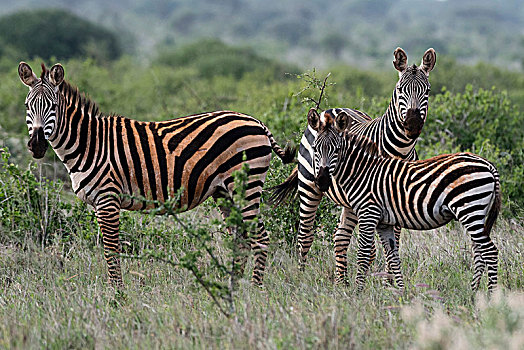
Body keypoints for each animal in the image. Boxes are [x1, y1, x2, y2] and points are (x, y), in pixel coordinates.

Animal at [17, 62, 294, 288]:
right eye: (27, 107)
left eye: (53, 106)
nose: (37, 145)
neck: (90, 144)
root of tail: (258, 122)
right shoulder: (99, 202)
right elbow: (109, 248)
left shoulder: (107, 199)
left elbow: (111, 249)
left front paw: (117, 295)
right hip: (224, 192)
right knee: (242, 240)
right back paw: (232, 287)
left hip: (245, 186)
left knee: (261, 238)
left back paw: (254, 291)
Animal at [270, 47, 438, 284]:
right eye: (399, 90)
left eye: (427, 90)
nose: (412, 125)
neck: (400, 150)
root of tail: (330, 110)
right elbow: (374, 246)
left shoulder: (398, 199)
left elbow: (393, 242)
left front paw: (388, 281)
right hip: (309, 187)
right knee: (305, 235)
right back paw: (302, 278)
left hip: (349, 201)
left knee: (340, 236)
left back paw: (342, 282)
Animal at [310, 110, 502, 292]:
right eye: (315, 149)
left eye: (336, 150)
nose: (322, 181)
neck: (361, 172)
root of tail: (488, 164)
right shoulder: (383, 223)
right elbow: (393, 256)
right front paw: (401, 293)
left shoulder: (368, 213)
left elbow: (363, 254)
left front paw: (357, 292)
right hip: (477, 212)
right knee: (479, 251)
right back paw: (474, 292)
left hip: (469, 208)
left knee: (490, 252)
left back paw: (490, 295)